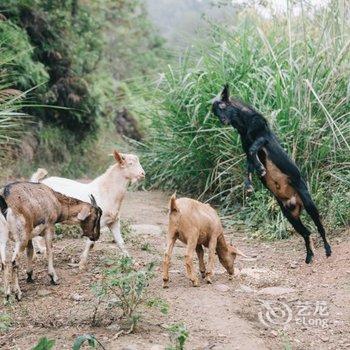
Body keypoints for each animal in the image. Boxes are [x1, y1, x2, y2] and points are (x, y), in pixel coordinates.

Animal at [213, 85, 330, 262]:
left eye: (223, 106)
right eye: (215, 112)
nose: (222, 120)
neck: (245, 124)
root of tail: (296, 202)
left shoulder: (262, 138)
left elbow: (254, 150)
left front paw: (261, 169)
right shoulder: (246, 148)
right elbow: (249, 163)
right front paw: (250, 183)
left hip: (309, 204)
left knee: (320, 227)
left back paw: (328, 249)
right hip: (290, 216)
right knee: (306, 233)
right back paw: (309, 256)